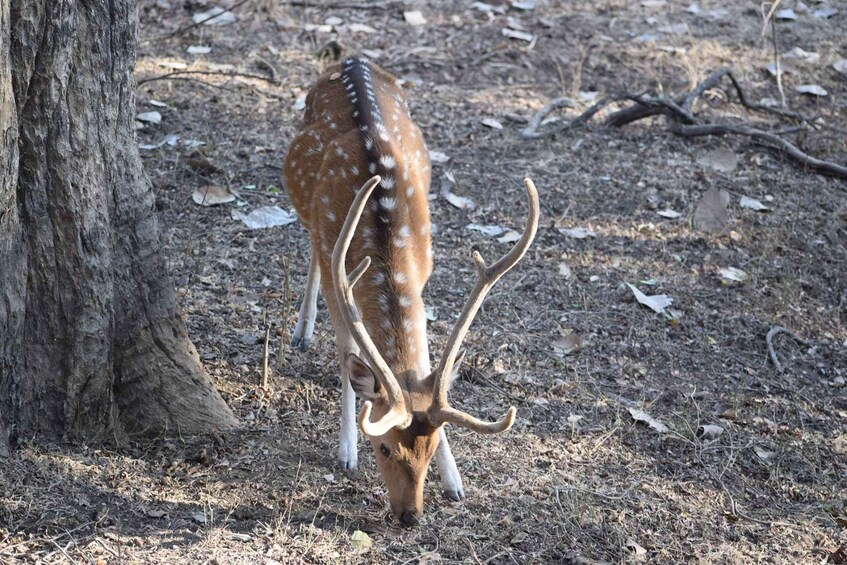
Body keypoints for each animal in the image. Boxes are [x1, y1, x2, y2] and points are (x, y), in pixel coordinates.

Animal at [282, 55, 540, 528]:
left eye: (432, 446)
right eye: (383, 447)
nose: (410, 516)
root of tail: (351, 57)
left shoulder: (423, 272)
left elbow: (423, 359)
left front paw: (455, 482)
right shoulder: (337, 269)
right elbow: (348, 354)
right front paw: (345, 451)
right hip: (313, 221)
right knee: (309, 250)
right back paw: (301, 331)